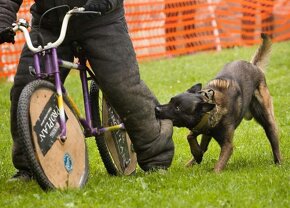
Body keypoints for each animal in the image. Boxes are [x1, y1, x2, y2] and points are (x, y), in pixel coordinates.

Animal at [156, 33, 280, 171]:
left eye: (178, 108)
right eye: (170, 100)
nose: (157, 109)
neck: (211, 107)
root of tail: (254, 66)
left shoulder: (227, 145)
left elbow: (218, 167)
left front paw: (212, 170)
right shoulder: (201, 129)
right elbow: (191, 137)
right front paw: (197, 154)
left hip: (267, 120)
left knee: (274, 141)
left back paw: (279, 163)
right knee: (202, 146)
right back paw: (192, 161)